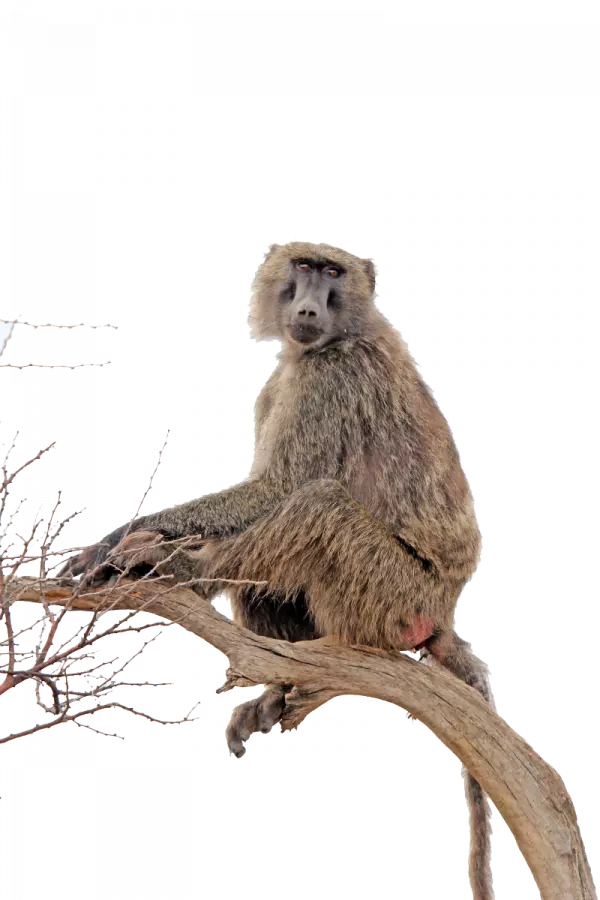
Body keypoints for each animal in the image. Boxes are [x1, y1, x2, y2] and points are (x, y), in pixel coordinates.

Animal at [58, 241, 494, 898]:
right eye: (305, 267)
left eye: (333, 273)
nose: (310, 306)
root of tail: (441, 609)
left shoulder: (330, 380)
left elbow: (278, 490)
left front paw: (124, 544)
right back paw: (283, 685)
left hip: (390, 593)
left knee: (317, 505)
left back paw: (185, 570)